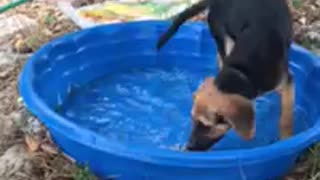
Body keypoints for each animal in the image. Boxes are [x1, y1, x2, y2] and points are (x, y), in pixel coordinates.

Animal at [156, 0, 294, 151]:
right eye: (192, 119)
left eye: (207, 126)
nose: (189, 147)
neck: (241, 72)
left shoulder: (287, 83)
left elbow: (286, 117)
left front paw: (286, 139)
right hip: (222, 36)